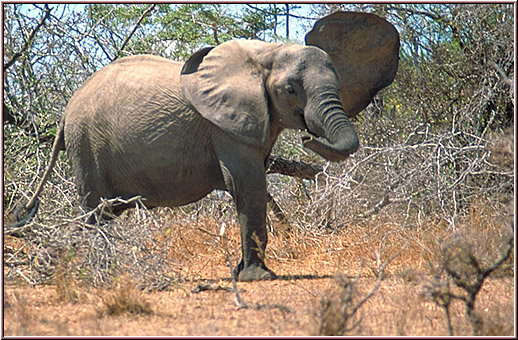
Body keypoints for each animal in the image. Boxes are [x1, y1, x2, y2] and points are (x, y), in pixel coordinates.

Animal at [10, 11, 404, 282]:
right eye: (290, 90)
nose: (309, 137)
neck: (269, 52)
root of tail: (65, 112)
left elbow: (249, 188)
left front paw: (241, 274)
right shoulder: (226, 127)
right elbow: (247, 185)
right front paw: (257, 278)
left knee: (102, 213)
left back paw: (59, 265)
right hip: (87, 143)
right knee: (95, 211)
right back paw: (89, 271)